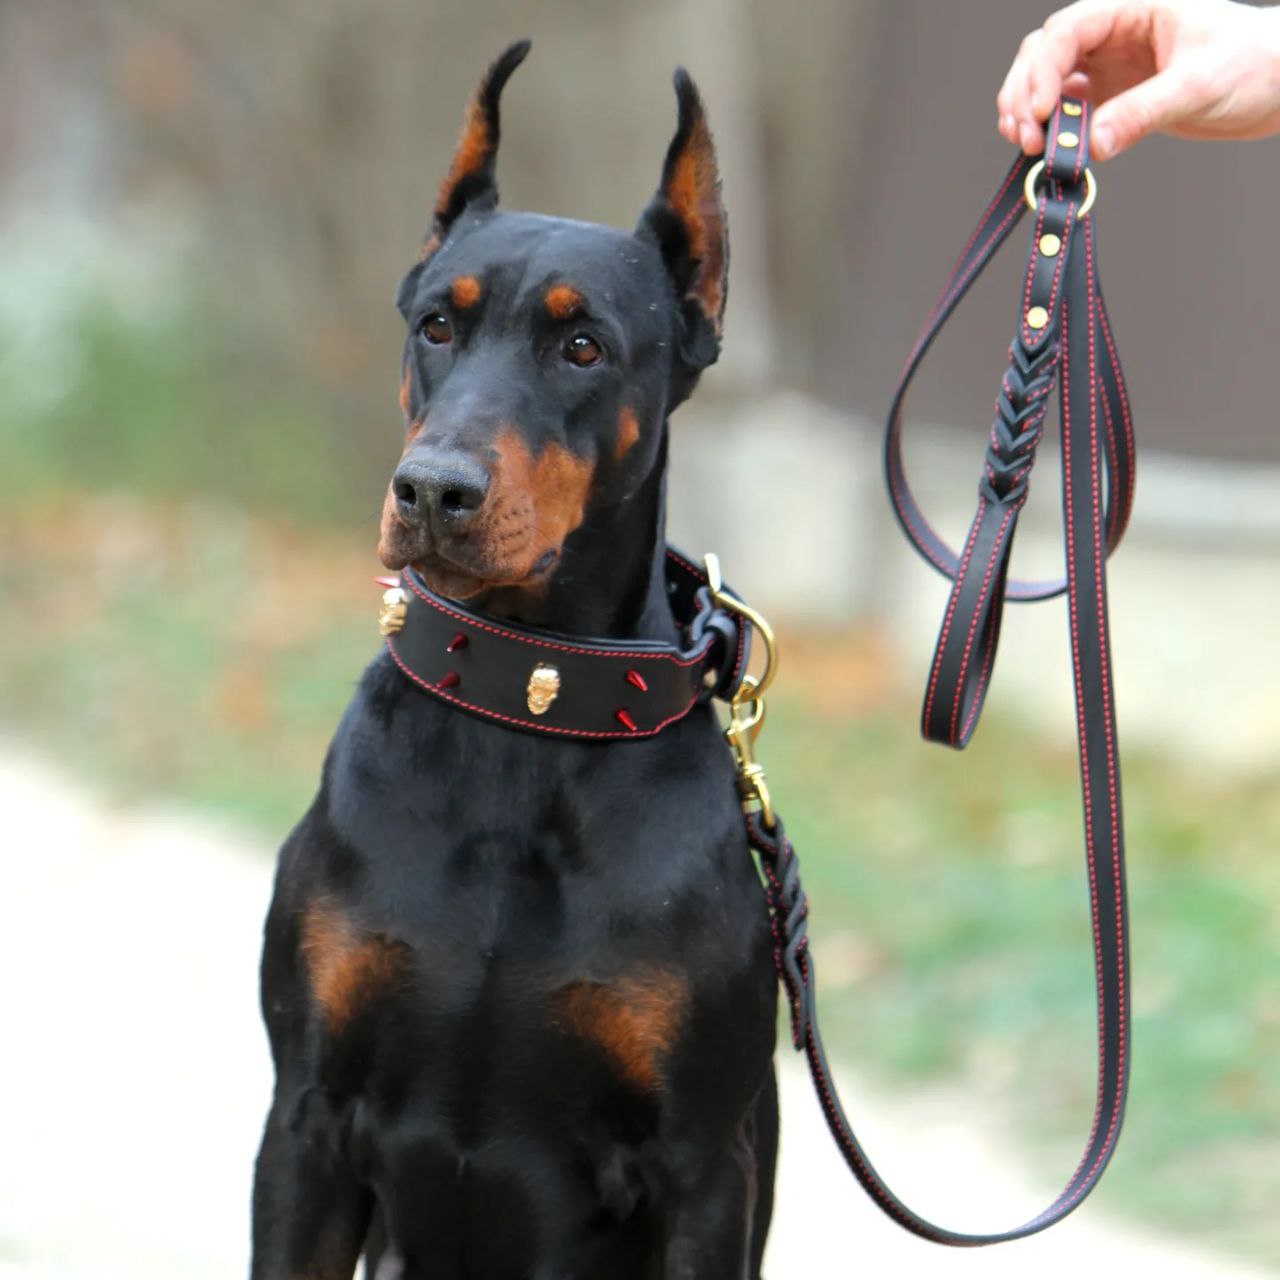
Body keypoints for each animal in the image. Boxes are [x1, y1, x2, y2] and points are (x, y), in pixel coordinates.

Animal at [248, 42, 768, 1280]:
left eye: (583, 345)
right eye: (439, 323)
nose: (433, 491)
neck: (523, 702)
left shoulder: (702, 1169)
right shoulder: (304, 1119)